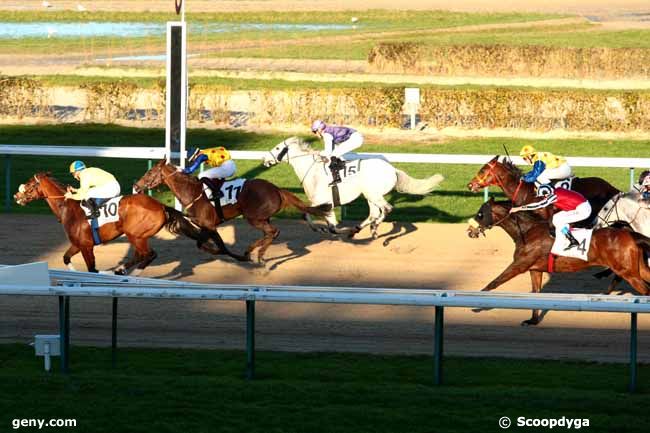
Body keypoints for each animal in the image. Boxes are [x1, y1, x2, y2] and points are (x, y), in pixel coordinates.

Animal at [13, 171, 206, 274]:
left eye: (29, 185)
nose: (16, 196)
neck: (68, 207)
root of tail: (161, 206)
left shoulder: (86, 246)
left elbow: (91, 268)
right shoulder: (78, 243)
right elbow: (66, 257)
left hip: (135, 234)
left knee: (149, 255)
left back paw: (126, 272)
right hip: (138, 236)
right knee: (140, 255)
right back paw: (119, 270)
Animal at [135, 157, 332, 262]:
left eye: (150, 172)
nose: (136, 186)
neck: (192, 192)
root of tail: (277, 189)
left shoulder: (209, 225)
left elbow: (216, 246)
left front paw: (229, 254)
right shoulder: (205, 227)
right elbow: (204, 243)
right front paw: (236, 255)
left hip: (253, 217)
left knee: (273, 232)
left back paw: (259, 254)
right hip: (262, 217)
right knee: (269, 233)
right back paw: (250, 251)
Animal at [260, 136, 442, 238]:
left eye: (277, 148)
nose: (265, 159)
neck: (313, 171)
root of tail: (393, 170)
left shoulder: (325, 203)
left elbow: (331, 226)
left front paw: (340, 230)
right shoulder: (317, 203)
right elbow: (306, 216)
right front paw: (319, 229)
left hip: (373, 193)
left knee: (386, 209)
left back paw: (371, 228)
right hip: (369, 195)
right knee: (373, 213)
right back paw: (361, 229)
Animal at [466, 198, 648, 324]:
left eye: (480, 213)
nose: (469, 230)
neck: (527, 231)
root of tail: (630, 234)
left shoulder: (519, 265)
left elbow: (494, 282)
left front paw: (476, 303)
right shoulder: (535, 269)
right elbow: (535, 293)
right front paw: (532, 320)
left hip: (628, 272)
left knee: (646, 290)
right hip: (637, 269)